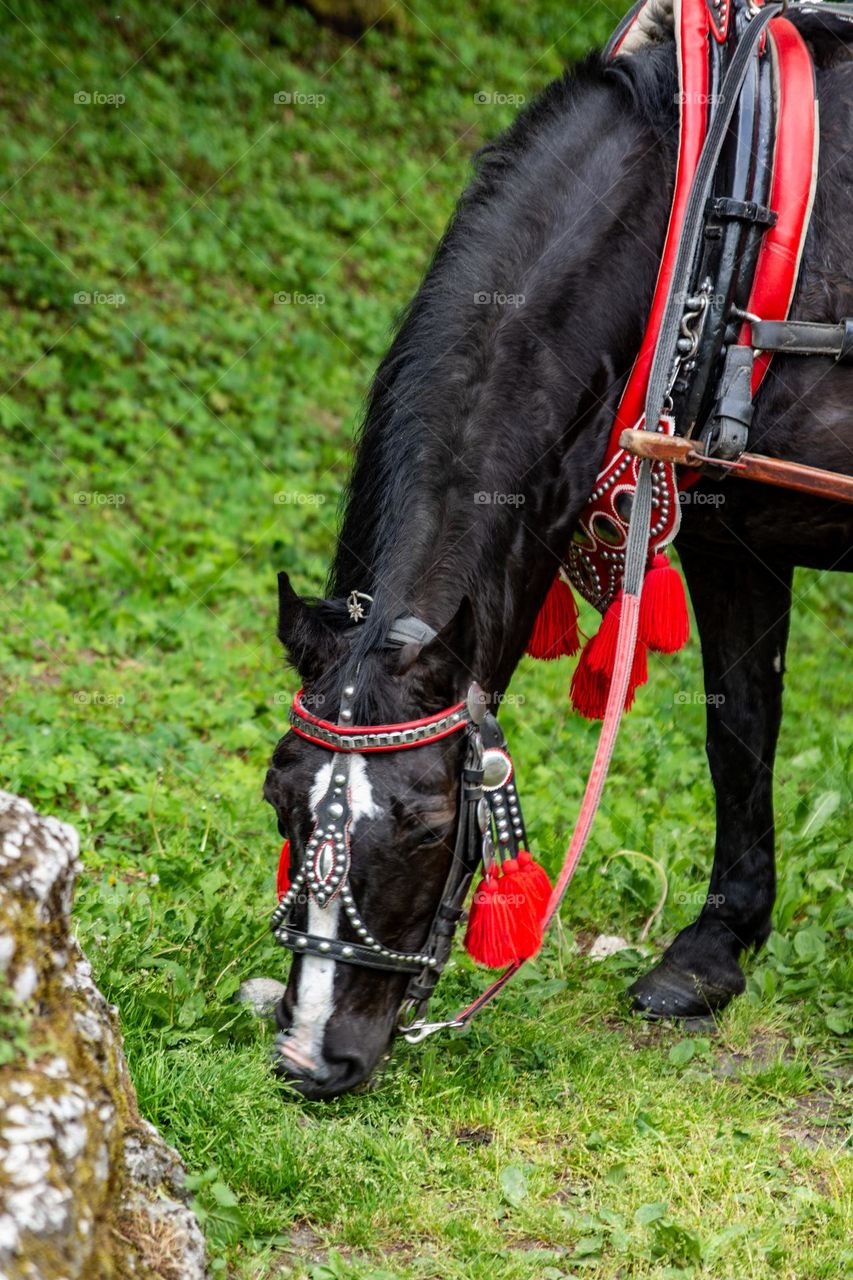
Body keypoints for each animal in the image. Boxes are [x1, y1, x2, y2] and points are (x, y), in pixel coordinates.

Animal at [263, 14, 853, 1099]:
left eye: (425, 823)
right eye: (282, 799)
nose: (310, 1055)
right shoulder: (730, 533)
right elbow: (739, 728)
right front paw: (714, 950)